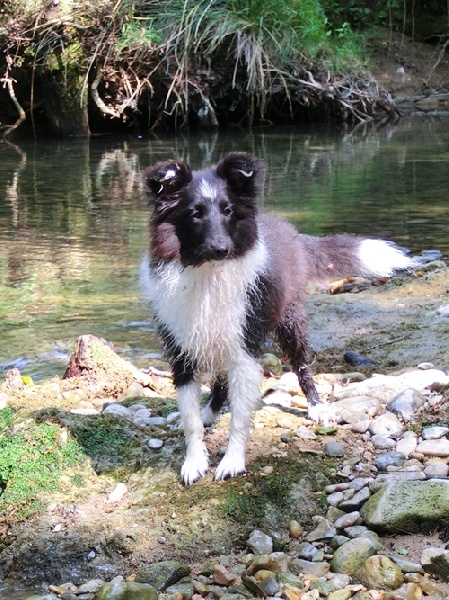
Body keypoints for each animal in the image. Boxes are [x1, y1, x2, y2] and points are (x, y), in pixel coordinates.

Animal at [140, 152, 412, 486]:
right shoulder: (181, 350)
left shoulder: (244, 346)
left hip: (289, 322)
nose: (222, 249)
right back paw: (209, 412)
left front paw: (232, 462)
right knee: (220, 384)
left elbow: (240, 418)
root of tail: (292, 232)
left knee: (303, 367)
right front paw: (194, 462)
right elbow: (191, 419)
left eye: (228, 211)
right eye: (195, 214)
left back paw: (317, 407)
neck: (208, 274)